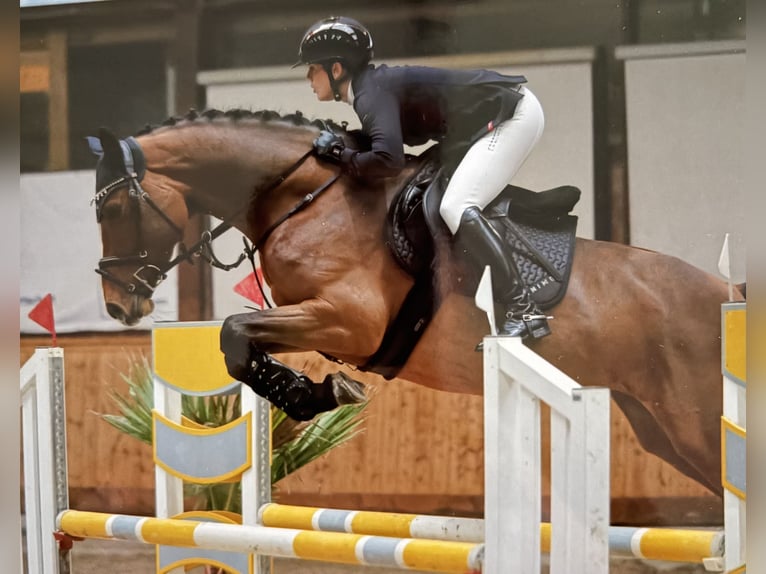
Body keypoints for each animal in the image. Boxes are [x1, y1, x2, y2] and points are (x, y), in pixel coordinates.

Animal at [89, 108, 743, 496]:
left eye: (113, 208)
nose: (118, 306)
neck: (304, 197)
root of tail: (730, 297)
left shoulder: (349, 320)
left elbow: (233, 331)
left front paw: (314, 394)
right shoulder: (312, 321)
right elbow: (242, 343)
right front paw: (311, 394)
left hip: (697, 426)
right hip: (661, 429)